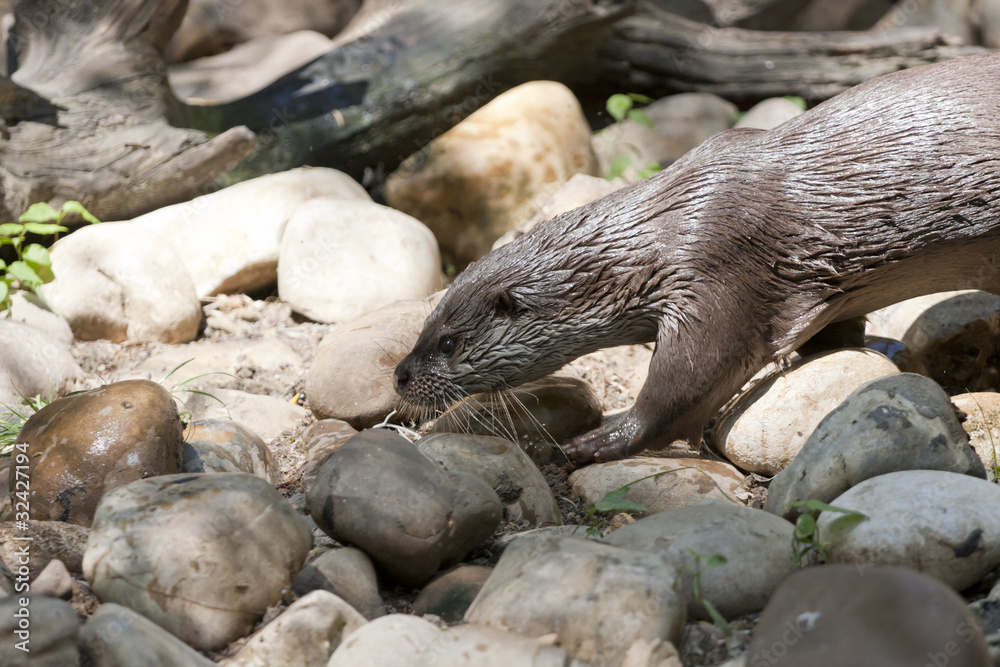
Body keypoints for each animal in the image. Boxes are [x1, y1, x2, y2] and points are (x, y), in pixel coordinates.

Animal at [394, 53, 1000, 464]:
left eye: (448, 343)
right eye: (424, 327)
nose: (401, 376)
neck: (655, 238)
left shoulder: (715, 270)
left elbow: (689, 378)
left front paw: (598, 440)